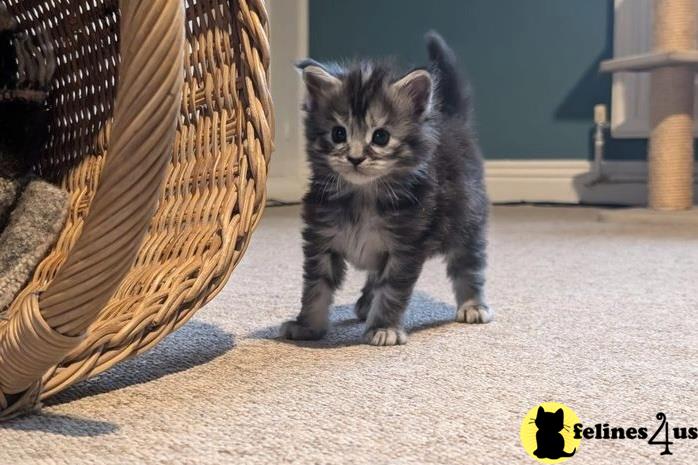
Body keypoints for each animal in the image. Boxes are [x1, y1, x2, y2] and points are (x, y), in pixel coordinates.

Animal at [278, 32, 490, 344]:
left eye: (380, 137)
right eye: (338, 133)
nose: (355, 158)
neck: (362, 197)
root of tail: (452, 119)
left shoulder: (406, 246)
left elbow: (392, 290)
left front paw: (384, 327)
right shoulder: (320, 239)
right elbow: (316, 287)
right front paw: (307, 326)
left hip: (466, 222)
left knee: (468, 264)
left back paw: (473, 304)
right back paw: (366, 303)